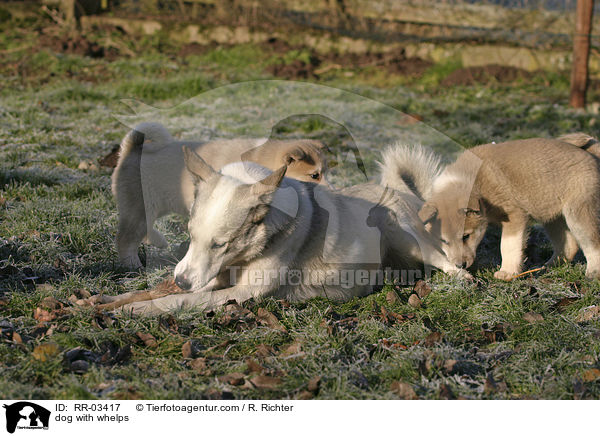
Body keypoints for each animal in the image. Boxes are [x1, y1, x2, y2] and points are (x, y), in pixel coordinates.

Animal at [112, 121, 328, 268]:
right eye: (314, 175)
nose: (330, 191)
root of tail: (132, 150)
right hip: (140, 207)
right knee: (126, 238)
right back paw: (133, 265)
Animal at [420, 133, 600, 282]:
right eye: (444, 241)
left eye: (466, 236)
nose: (460, 265)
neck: (475, 182)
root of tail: (592, 153)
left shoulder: (514, 216)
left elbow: (508, 246)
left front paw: (507, 272)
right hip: (552, 216)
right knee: (568, 246)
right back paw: (546, 267)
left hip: (578, 213)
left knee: (592, 243)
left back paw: (593, 272)